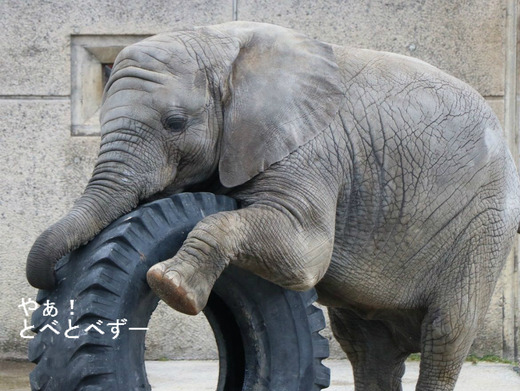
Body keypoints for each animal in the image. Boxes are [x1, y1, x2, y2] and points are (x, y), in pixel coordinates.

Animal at [27, 22, 520, 391]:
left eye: (175, 123)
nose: (49, 277)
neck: (221, 46)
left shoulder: (313, 149)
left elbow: (307, 255)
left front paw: (171, 285)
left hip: (485, 227)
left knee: (446, 332)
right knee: (366, 345)